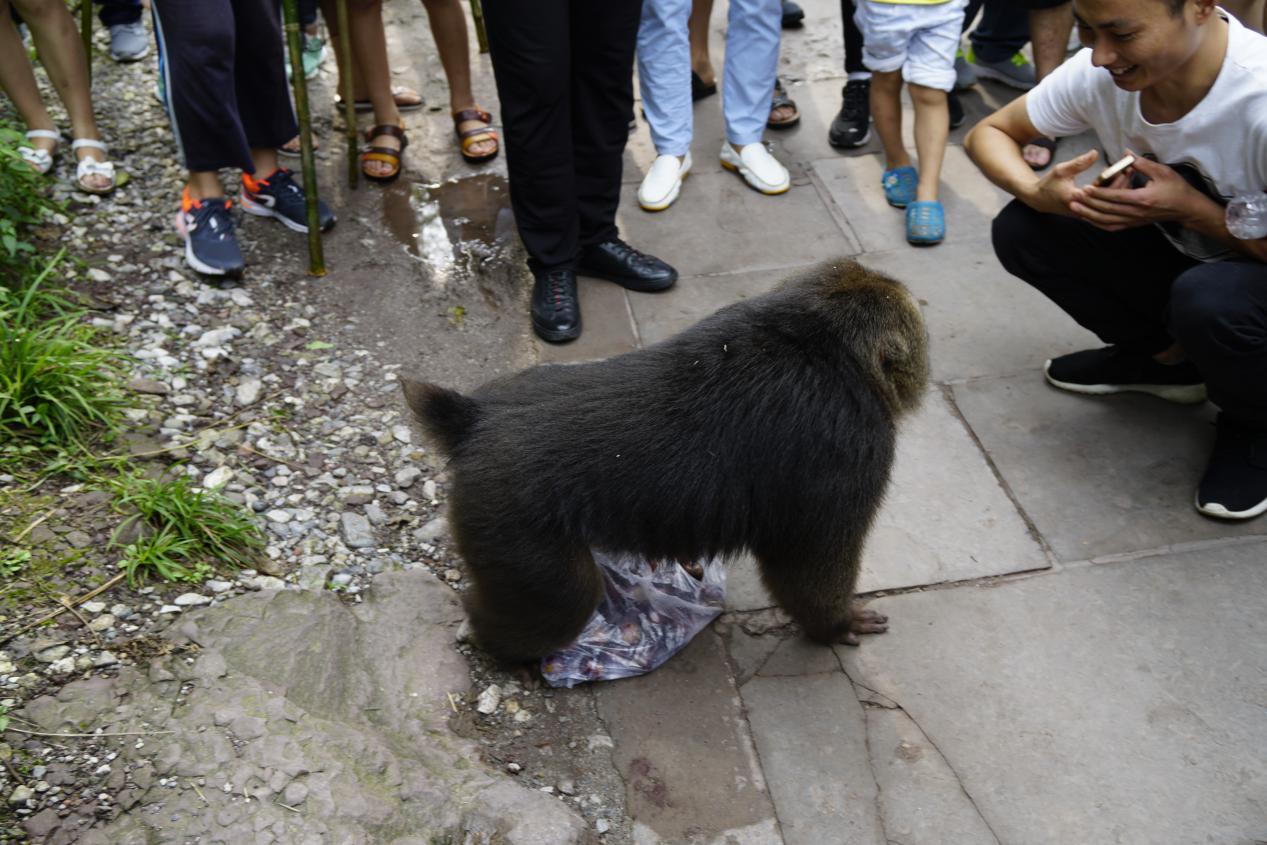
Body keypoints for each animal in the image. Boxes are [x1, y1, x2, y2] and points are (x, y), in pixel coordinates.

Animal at [405, 259, 932, 668]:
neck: (816, 334)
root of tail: (475, 420)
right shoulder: (851, 449)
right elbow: (810, 560)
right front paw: (835, 624)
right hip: (509, 520)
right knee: (563, 601)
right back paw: (491, 636)